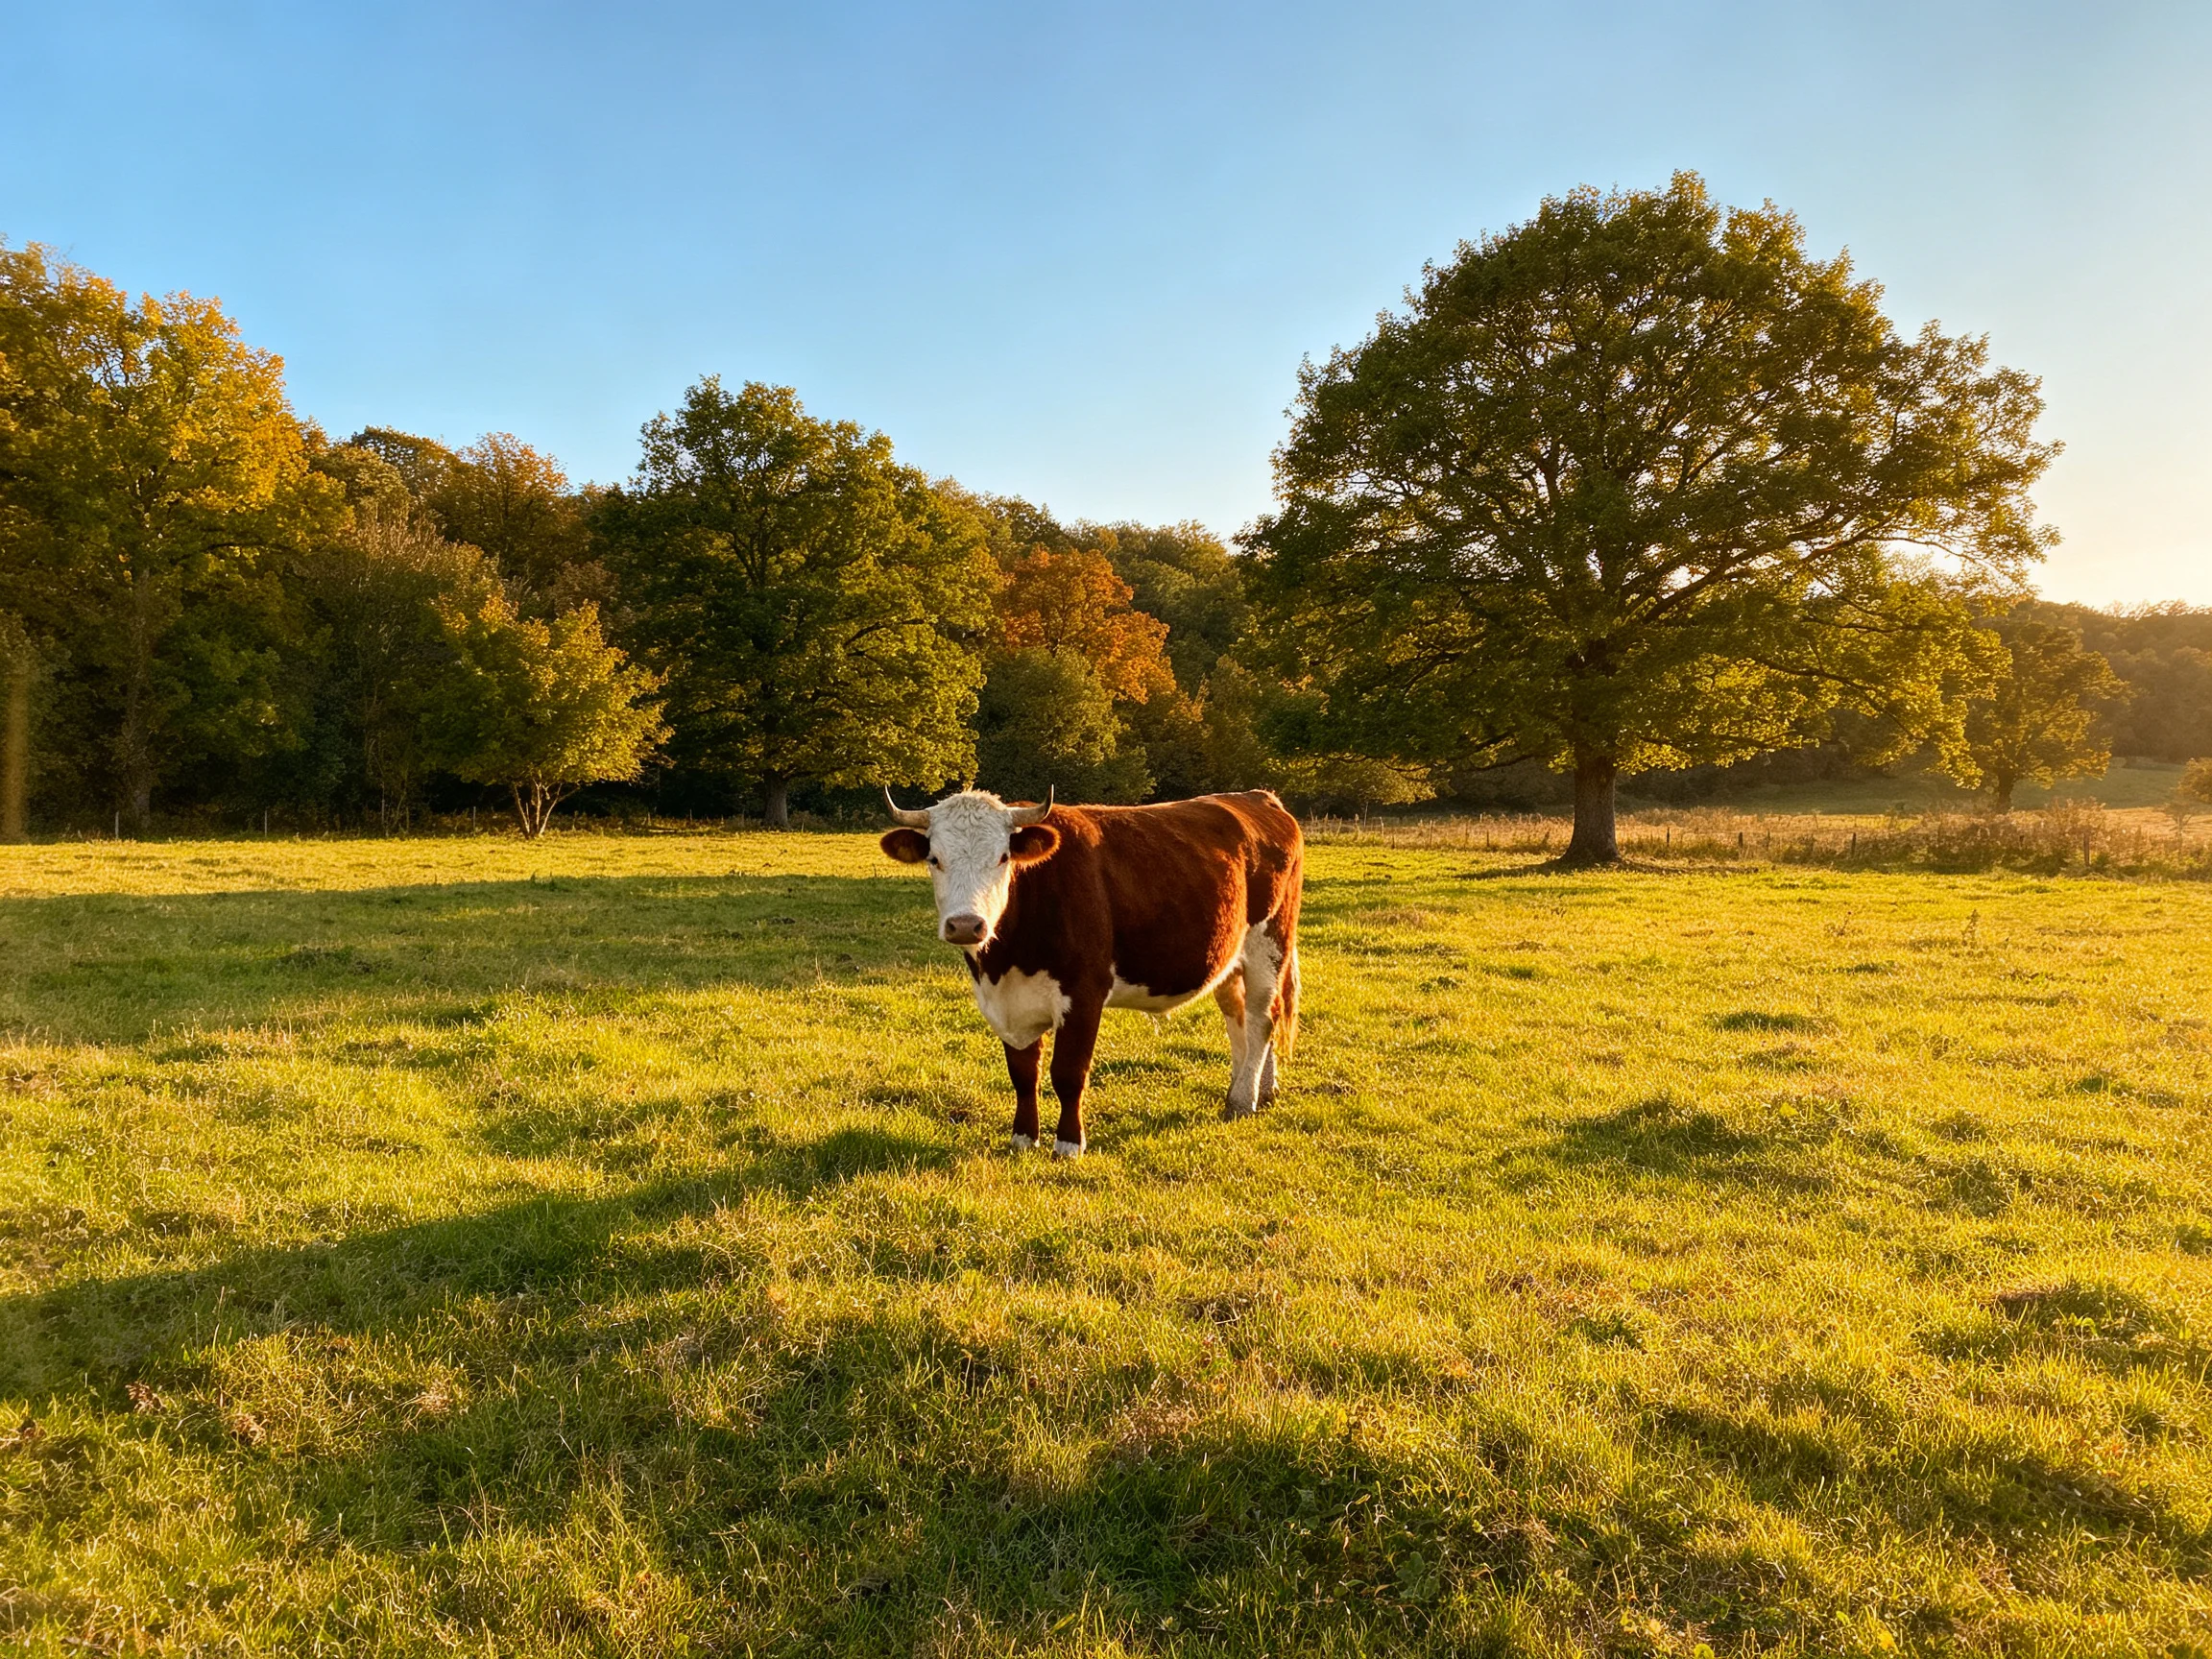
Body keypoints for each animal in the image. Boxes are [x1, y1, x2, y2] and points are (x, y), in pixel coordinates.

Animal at [879, 787, 1302, 1158]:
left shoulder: (1084, 993)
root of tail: (1258, 797)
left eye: (1002, 857)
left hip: (1270, 942)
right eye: (935, 859)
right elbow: (1023, 1074)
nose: (966, 925)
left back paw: (1243, 1099)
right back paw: (1256, 1089)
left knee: (1263, 1017)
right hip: (1230, 958)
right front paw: (1023, 1138)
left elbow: (1068, 1073)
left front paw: (1068, 1144)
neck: (1004, 962)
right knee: (1238, 1017)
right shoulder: (1007, 1004)